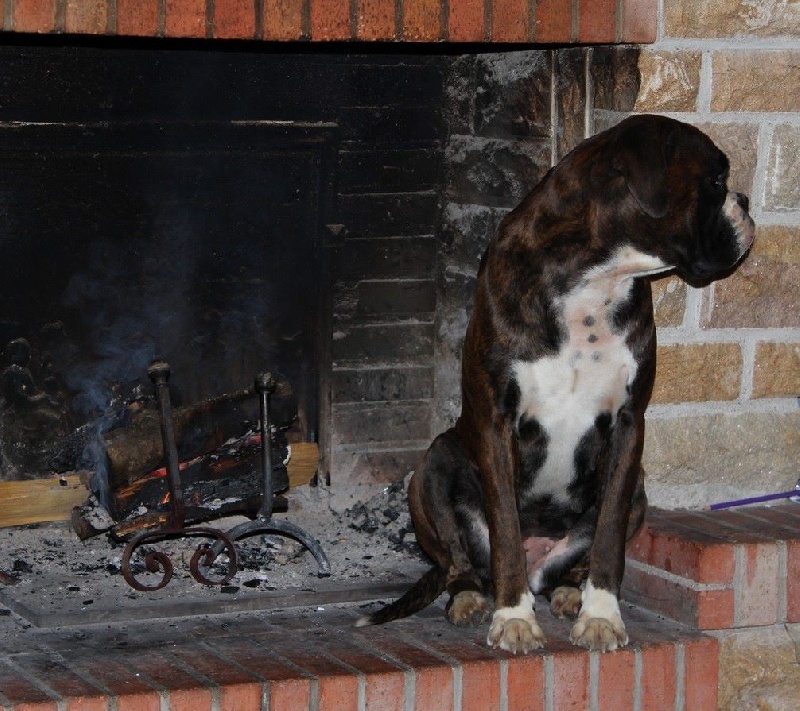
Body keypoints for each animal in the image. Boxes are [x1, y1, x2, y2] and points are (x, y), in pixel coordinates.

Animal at [358, 114, 756, 652]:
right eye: (715, 180)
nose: (746, 202)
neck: (594, 278)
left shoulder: (629, 426)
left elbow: (608, 537)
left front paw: (602, 615)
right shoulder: (495, 423)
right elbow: (506, 531)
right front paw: (514, 618)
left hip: (638, 488)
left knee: (574, 560)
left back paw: (570, 592)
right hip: (436, 462)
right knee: (460, 563)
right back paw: (471, 598)